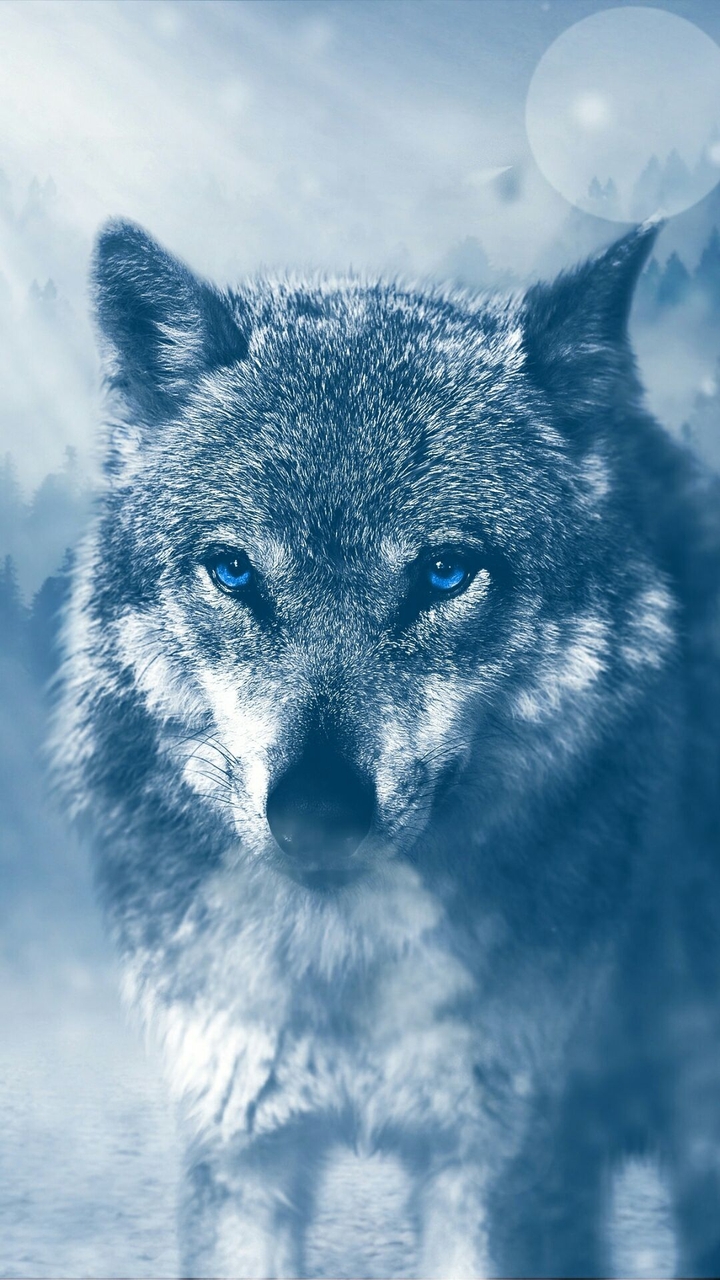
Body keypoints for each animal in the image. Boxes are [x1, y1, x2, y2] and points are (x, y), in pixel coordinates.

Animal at [54, 216, 720, 1278]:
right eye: (233, 571)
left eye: (445, 572)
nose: (318, 813)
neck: (344, 969)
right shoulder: (241, 1150)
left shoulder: (504, 1166)